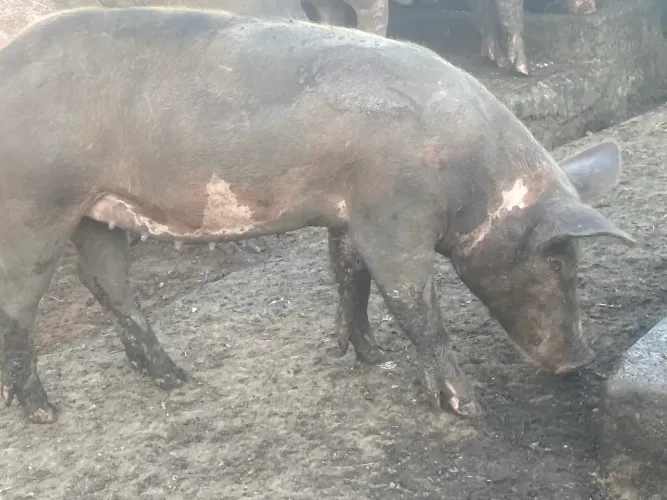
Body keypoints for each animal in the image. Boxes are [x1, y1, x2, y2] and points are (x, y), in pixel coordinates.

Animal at [0, 7, 634, 424]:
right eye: (559, 264)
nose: (582, 359)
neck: (473, 175)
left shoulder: (350, 217)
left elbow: (350, 280)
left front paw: (368, 357)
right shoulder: (393, 217)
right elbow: (415, 305)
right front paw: (469, 409)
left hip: (96, 210)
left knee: (103, 280)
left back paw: (174, 378)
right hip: (36, 203)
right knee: (20, 303)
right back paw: (43, 413)